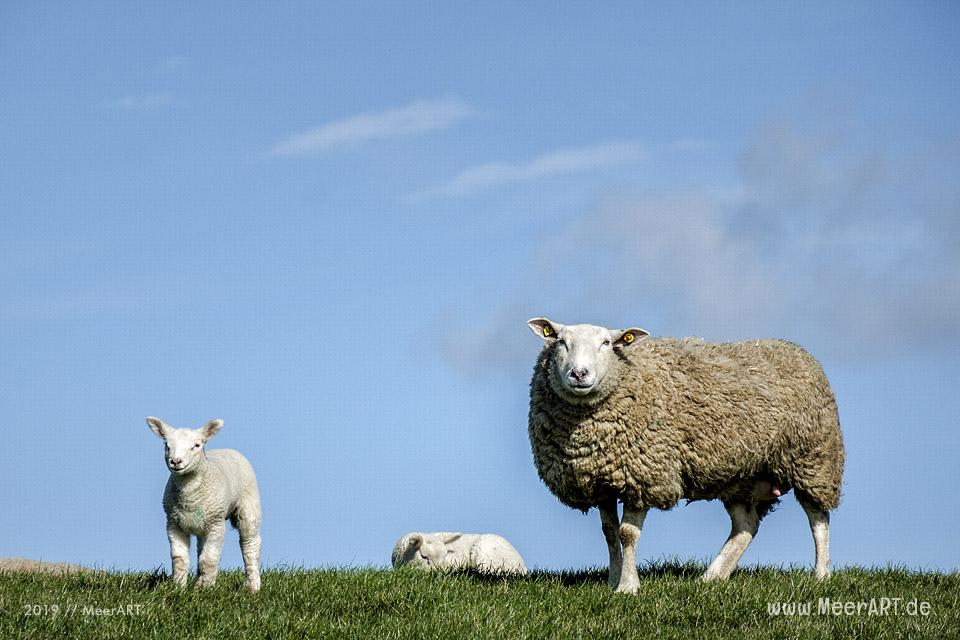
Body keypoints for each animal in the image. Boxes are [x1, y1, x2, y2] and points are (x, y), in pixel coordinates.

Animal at [145, 418, 262, 592]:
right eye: (167, 445)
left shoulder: (216, 524)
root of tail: (228, 449)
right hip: (201, 524)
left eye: (196, 445)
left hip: (248, 506)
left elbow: (209, 559)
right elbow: (179, 559)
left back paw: (253, 586)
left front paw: (206, 589)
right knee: (200, 548)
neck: (189, 496)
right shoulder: (173, 523)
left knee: (250, 544)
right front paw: (179, 588)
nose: (176, 461)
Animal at [528, 318, 844, 592]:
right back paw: (712, 576)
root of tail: (795, 349)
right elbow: (609, 532)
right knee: (746, 526)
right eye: (560, 341)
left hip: (813, 458)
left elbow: (627, 533)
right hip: (742, 476)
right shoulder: (600, 480)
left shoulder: (645, 474)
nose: (579, 374)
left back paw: (821, 574)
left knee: (818, 518)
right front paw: (613, 580)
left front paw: (628, 587)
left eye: (606, 343)